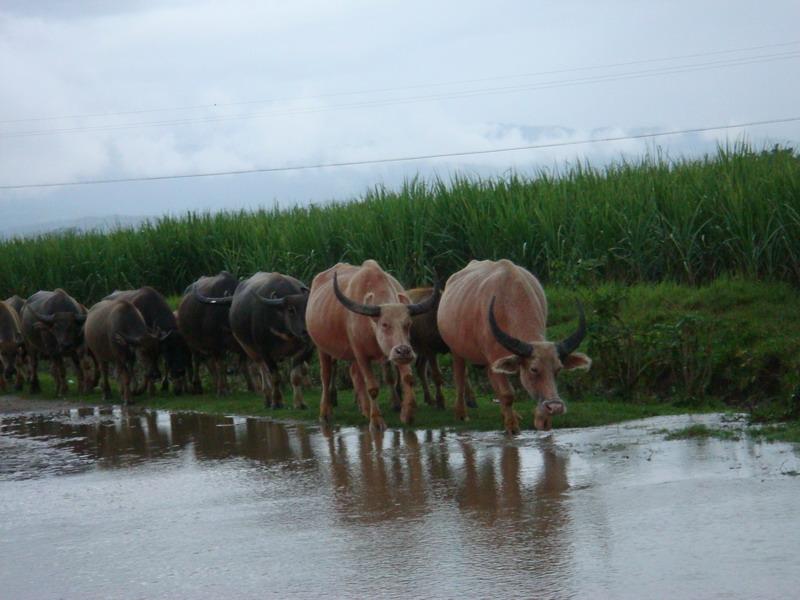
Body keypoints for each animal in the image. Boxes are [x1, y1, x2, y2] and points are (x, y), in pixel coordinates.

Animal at [195, 270, 314, 408]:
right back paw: (268, 398)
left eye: (308, 308)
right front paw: (277, 402)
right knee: (261, 371)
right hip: (250, 350)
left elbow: (296, 376)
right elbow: (275, 377)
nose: (306, 331)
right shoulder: (264, 351)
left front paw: (299, 403)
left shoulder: (305, 349)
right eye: (291, 310)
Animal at [306, 260, 438, 428]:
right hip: (322, 348)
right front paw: (376, 420)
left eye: (408, 324)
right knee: (326, 376)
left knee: (355, 374)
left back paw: (365, 409)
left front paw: (407, 414)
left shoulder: (393, 354)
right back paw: (325, 413)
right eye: (385, 324)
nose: (404, 351)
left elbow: (407, 378)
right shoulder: (361, 354)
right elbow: (373, 388)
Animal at [438, 260, 588, 434]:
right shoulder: (493, 356)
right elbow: (507, 394)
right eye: (534, 369)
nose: (555, 407)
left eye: (558, 369)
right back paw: (461, 413)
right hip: (456, 351)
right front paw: (512, 426)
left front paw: (540, 420)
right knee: (460, 378)